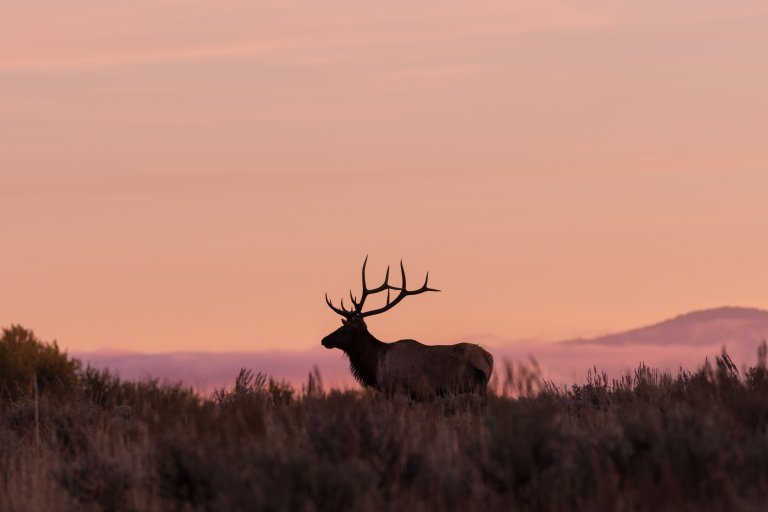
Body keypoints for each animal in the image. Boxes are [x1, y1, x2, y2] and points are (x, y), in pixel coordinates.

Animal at [322, 257, 494, 401]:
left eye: (343, 330)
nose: (324, 340)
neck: (375, 365)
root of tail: (488, 359)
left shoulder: (398, 391)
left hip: (469, 387)